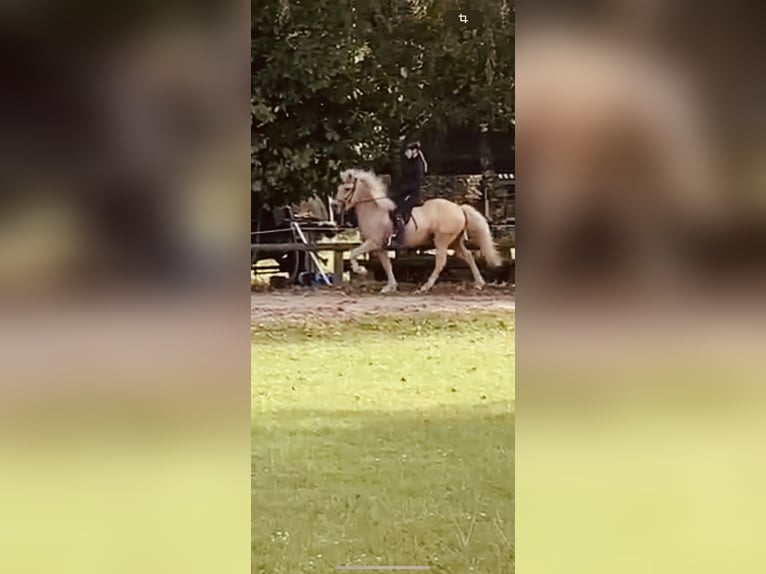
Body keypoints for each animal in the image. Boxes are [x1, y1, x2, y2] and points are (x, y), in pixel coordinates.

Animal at [336, 166, 504, 292]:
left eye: (347, 189)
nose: (336, 206)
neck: (375, 210)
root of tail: (459, 208)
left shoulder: (374, 243)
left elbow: (353, 253)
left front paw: (360, 270)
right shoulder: (381, 247)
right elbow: (387, 265)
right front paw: (390, 286)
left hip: (442, 240)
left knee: (441, 261)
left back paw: (425, 286)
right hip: (455, 241)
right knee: (468, 256)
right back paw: (479, 283)